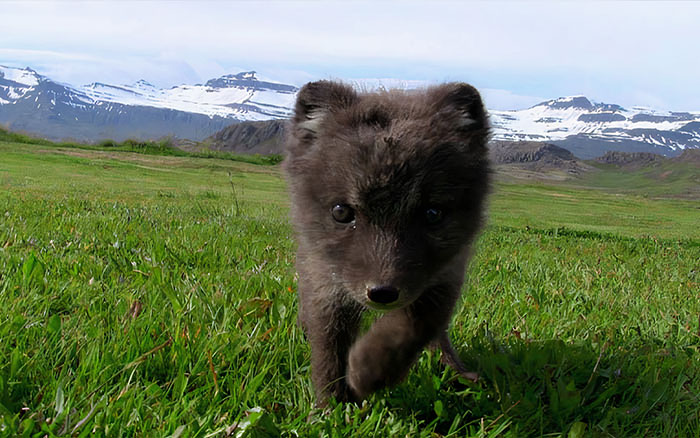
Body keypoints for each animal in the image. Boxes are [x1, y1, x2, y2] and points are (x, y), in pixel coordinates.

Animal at [283, 80, 490, 405]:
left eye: (432, 213)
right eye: (341, 212)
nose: (382, 293)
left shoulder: (446, 274)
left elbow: (417, 325)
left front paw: (367, 372)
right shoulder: (324, 277)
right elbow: (329, 345)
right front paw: (330, 406)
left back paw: (455, 369)